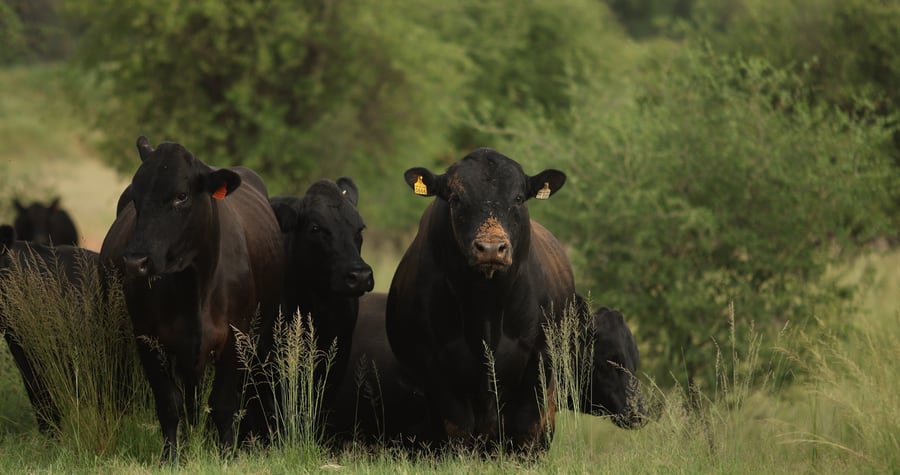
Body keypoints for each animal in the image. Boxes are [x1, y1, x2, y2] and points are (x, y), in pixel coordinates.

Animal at [99, 137, 285, 462]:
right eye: (136, 196)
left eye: (181, 196)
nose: (136, 261)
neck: (193, 287)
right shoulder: (148, 339)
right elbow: (169, 402)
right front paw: (171, 455)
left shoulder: (236, 337)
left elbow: (223, 403)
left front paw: (226, 454)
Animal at [385, 148, 575, 453]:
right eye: (455, 198)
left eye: (518, 198)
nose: (491, 248)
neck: (486, 313)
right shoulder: (434, 365)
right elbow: (458, 427)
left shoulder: (539, 360)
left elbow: (525, 427)